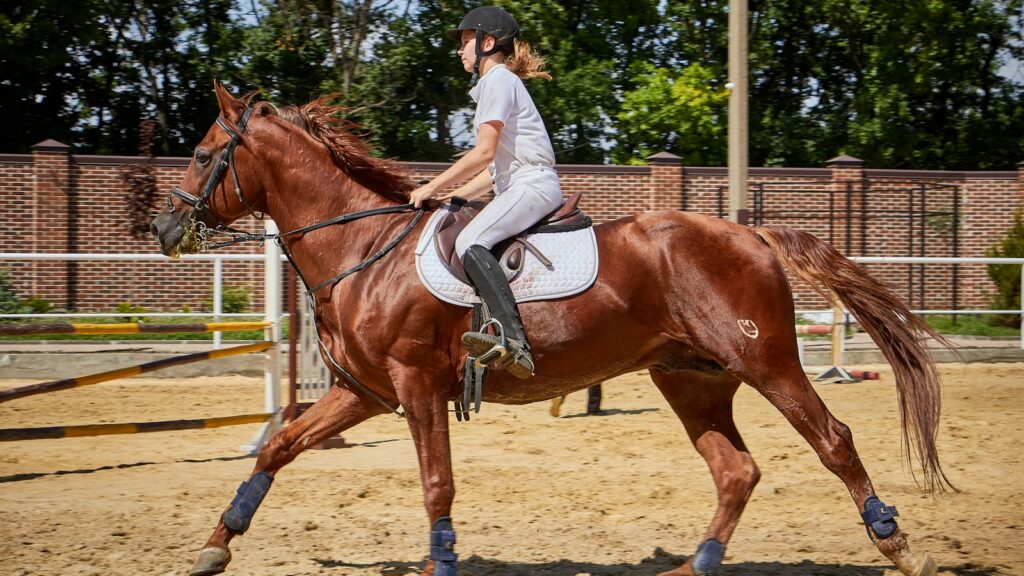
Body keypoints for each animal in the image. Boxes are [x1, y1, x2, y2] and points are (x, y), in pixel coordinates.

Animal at [151, 84, 951, 576]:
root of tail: (749, 233)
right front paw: (216, 545)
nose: (162, 228)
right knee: (736, 471)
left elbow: (436, 484)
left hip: (768, 362)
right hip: (690, 379)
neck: (363, 247)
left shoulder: (415, 385)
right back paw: (694, 564)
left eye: (201, 155)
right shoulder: (365, 393)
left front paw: (439, 560)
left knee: (833, 441)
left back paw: (898, 543)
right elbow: (279, 446)